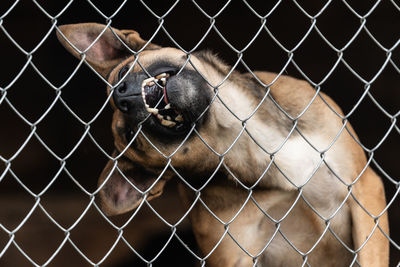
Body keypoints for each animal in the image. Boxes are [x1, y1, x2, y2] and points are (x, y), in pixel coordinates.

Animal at [57, 23, 390, 267]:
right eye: (131, 137)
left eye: (123, 74)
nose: (123, 96)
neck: (241, 133)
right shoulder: (234, 255)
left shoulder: (364, 191)